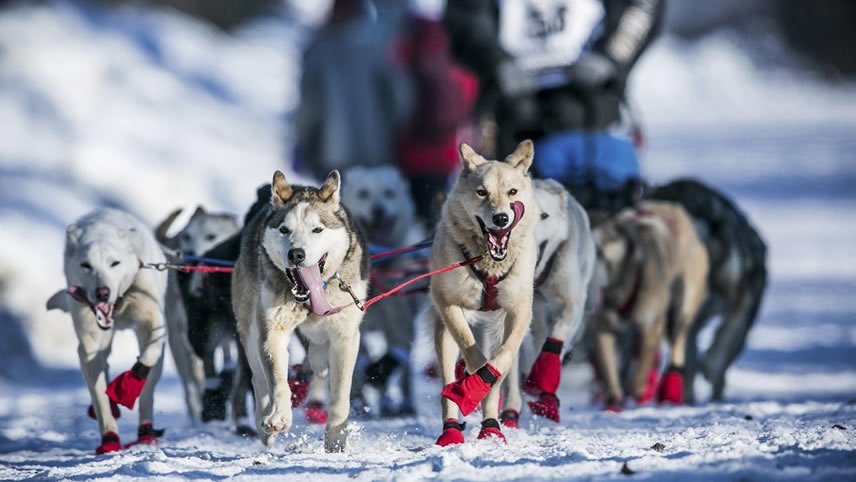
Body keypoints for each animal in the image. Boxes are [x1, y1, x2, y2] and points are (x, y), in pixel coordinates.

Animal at [432, 141, 540, 446]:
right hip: (443, 333)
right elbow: (472, 352)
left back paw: (491, 427)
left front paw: (481, 384)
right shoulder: (448, 303)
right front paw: (470, 383)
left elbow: (501, 359)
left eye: (512, 192)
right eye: (482, 192)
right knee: (448, 380)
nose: (501, 217)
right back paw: (451, 429)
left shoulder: (519, 311)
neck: (489, 264)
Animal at [588, 200, 708, 410]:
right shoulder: (602, 328)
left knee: (676, 346)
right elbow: (610, 373)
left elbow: (639, 375)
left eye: (600, 250)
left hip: (681, 308)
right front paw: (613, 403)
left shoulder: (651, 325)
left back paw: (668, 391)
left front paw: (636, 391)